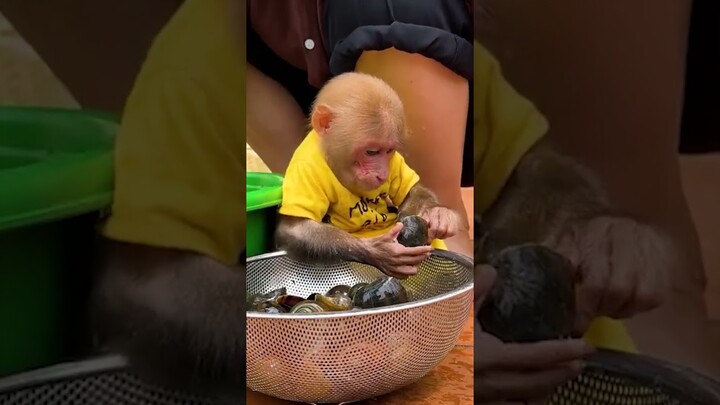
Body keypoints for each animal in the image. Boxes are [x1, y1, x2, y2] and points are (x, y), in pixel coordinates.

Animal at [276, 72, 462, 278]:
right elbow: (296, 230)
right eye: (371, 152)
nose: (382, 173)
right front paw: (380, 252)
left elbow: (413, 191)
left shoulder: (394, 162)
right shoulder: (305, 168)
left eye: (389, 151)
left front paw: (439, 216)